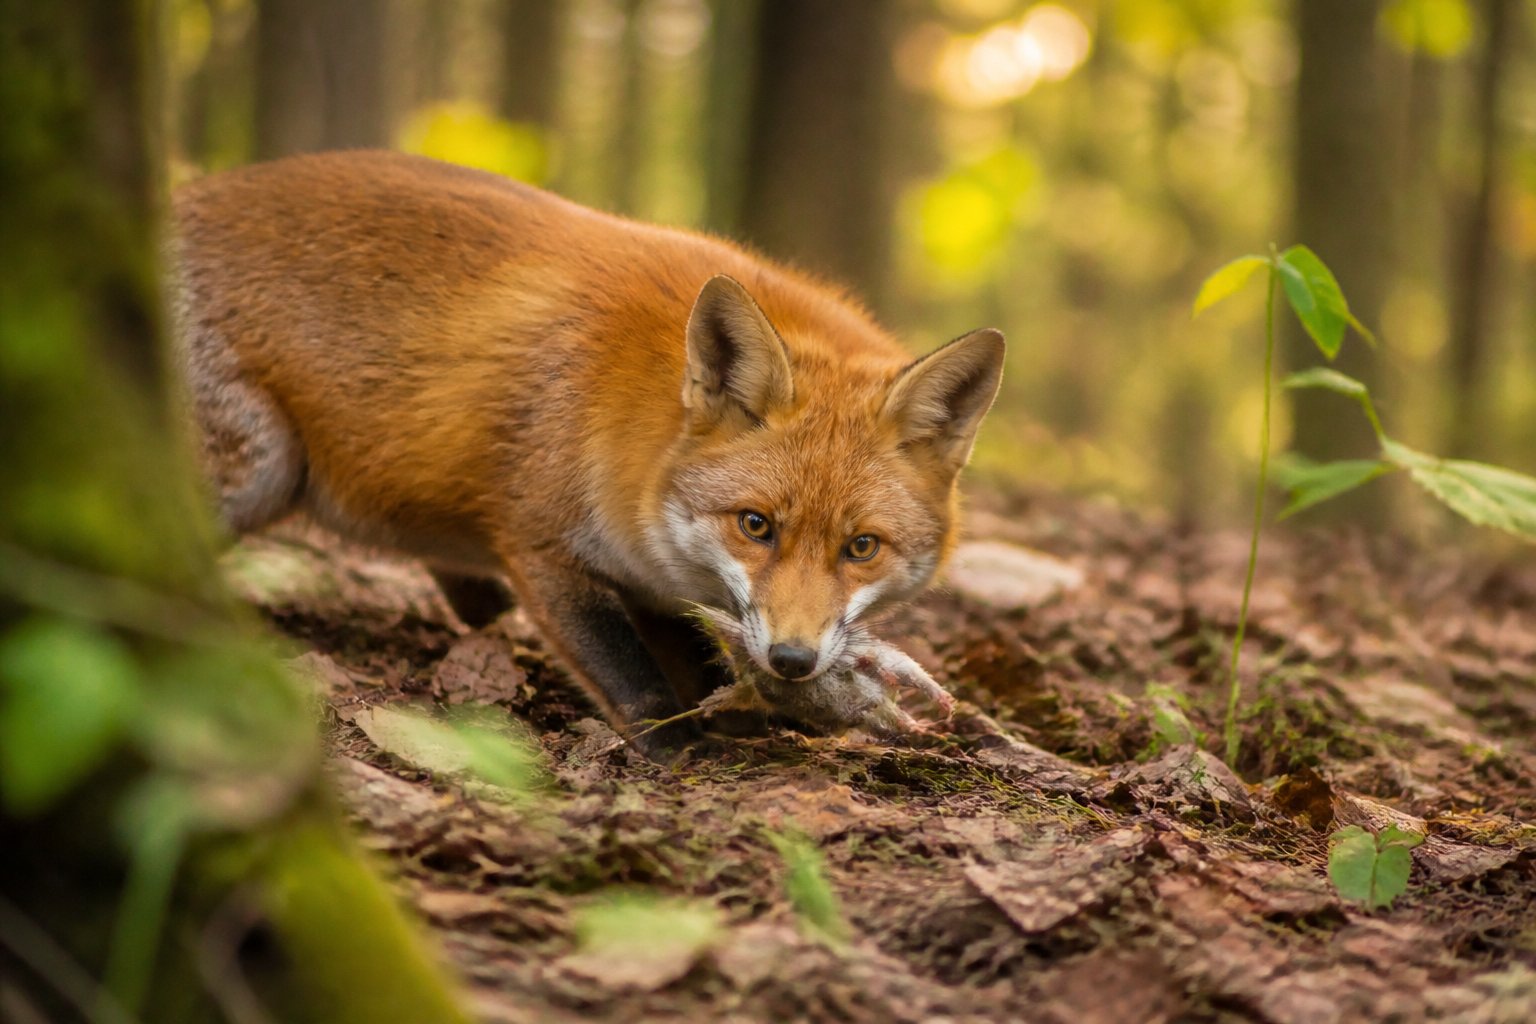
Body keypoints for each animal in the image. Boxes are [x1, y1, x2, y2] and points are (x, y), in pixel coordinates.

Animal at [171, 150, 1004, 759]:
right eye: (756, 525)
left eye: (861, 547)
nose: (793, 662)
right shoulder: (540, 540)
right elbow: (631, 677)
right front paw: (682, 750)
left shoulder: (657, 583)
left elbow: (700, 660)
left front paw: (745, 713)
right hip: (262, 464)